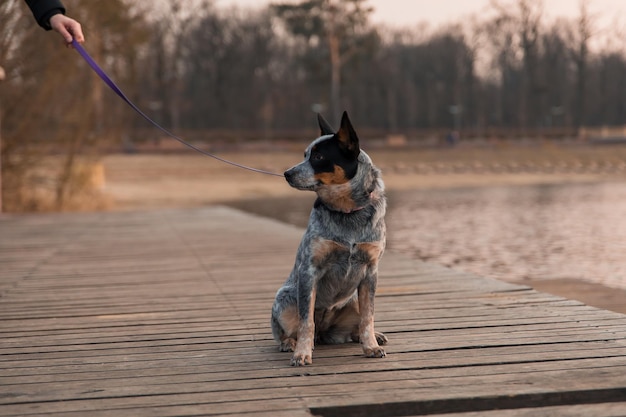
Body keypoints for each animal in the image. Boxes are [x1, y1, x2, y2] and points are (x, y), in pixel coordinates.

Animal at [270, 110, 386, 364]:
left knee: (356, 326)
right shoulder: (309, 270)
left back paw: (374, 336)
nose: (286, 173)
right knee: (292, 330)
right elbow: (306, 322)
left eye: (319, 156)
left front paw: (371, 346)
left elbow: (369, 317)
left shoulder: (370, 271)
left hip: (353, 299)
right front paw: (302, 353)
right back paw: (289, 343)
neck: (347, 212)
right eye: (304, 155)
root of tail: (324, 333)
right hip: (284, 299)